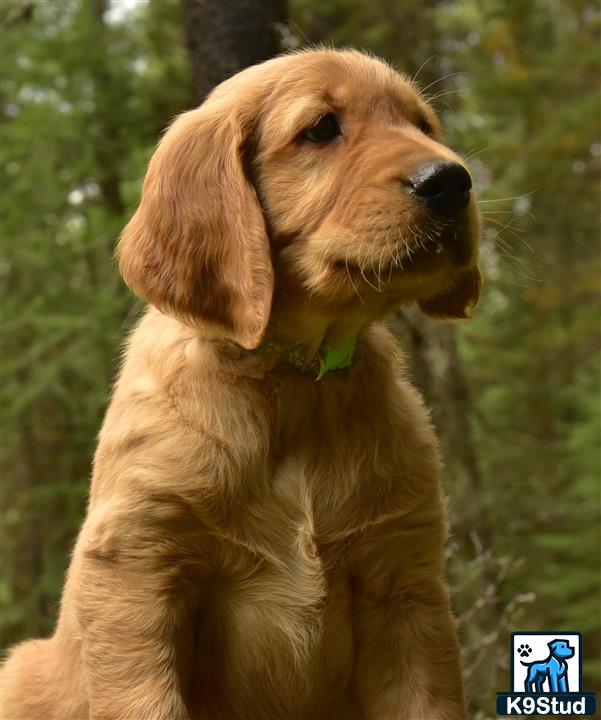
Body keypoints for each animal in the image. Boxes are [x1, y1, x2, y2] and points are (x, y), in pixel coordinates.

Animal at [0, 47, 478, 716]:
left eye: (424, 125)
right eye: (322, 129)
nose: (452, 181)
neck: (297, 380)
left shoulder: (406, 585)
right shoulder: (135, 573)